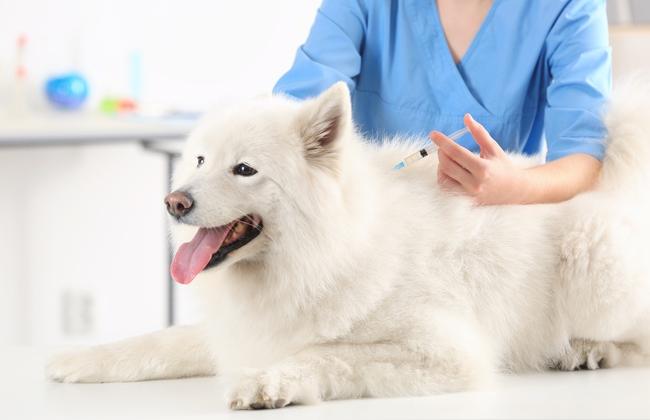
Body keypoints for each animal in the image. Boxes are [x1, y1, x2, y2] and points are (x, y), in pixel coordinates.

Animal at [46, 82, 648, 410]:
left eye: (244, 170)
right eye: (199, 160)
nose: (174, 202)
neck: (322, 253)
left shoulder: (447, 352)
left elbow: (326, 353)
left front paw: (267, 382)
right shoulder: (242, 329)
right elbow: (158, 341)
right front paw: (77, 358)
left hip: (592, 258)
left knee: (637, 342)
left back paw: (587, 349)